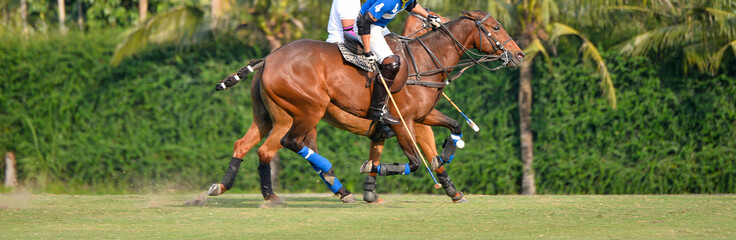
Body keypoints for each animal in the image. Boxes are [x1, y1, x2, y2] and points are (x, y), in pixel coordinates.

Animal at [211, 10, 524, 203]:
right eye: (496, 27)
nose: (519, 55)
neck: (424, 62)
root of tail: (268, 58)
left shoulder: (421, 118)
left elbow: (451, 132)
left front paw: (452, 187)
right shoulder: (406, 123)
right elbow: (414, 161)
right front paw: (374, 171)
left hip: (267, 114)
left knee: (245, 144)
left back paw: (222, 186)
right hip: (304, 111)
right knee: (280, 146)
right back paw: (278, 194)